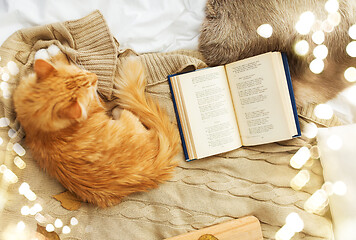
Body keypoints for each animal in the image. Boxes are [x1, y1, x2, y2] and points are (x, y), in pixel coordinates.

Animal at [13, 45, 181, 208]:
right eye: (90, 84)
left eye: (82, 73)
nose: (95, 76)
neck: (41, 129)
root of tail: (153, 170)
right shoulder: (97, 102)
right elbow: (61, 59)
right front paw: (50, 51)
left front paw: (45, 53)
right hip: (129, 119)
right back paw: (117, 109)